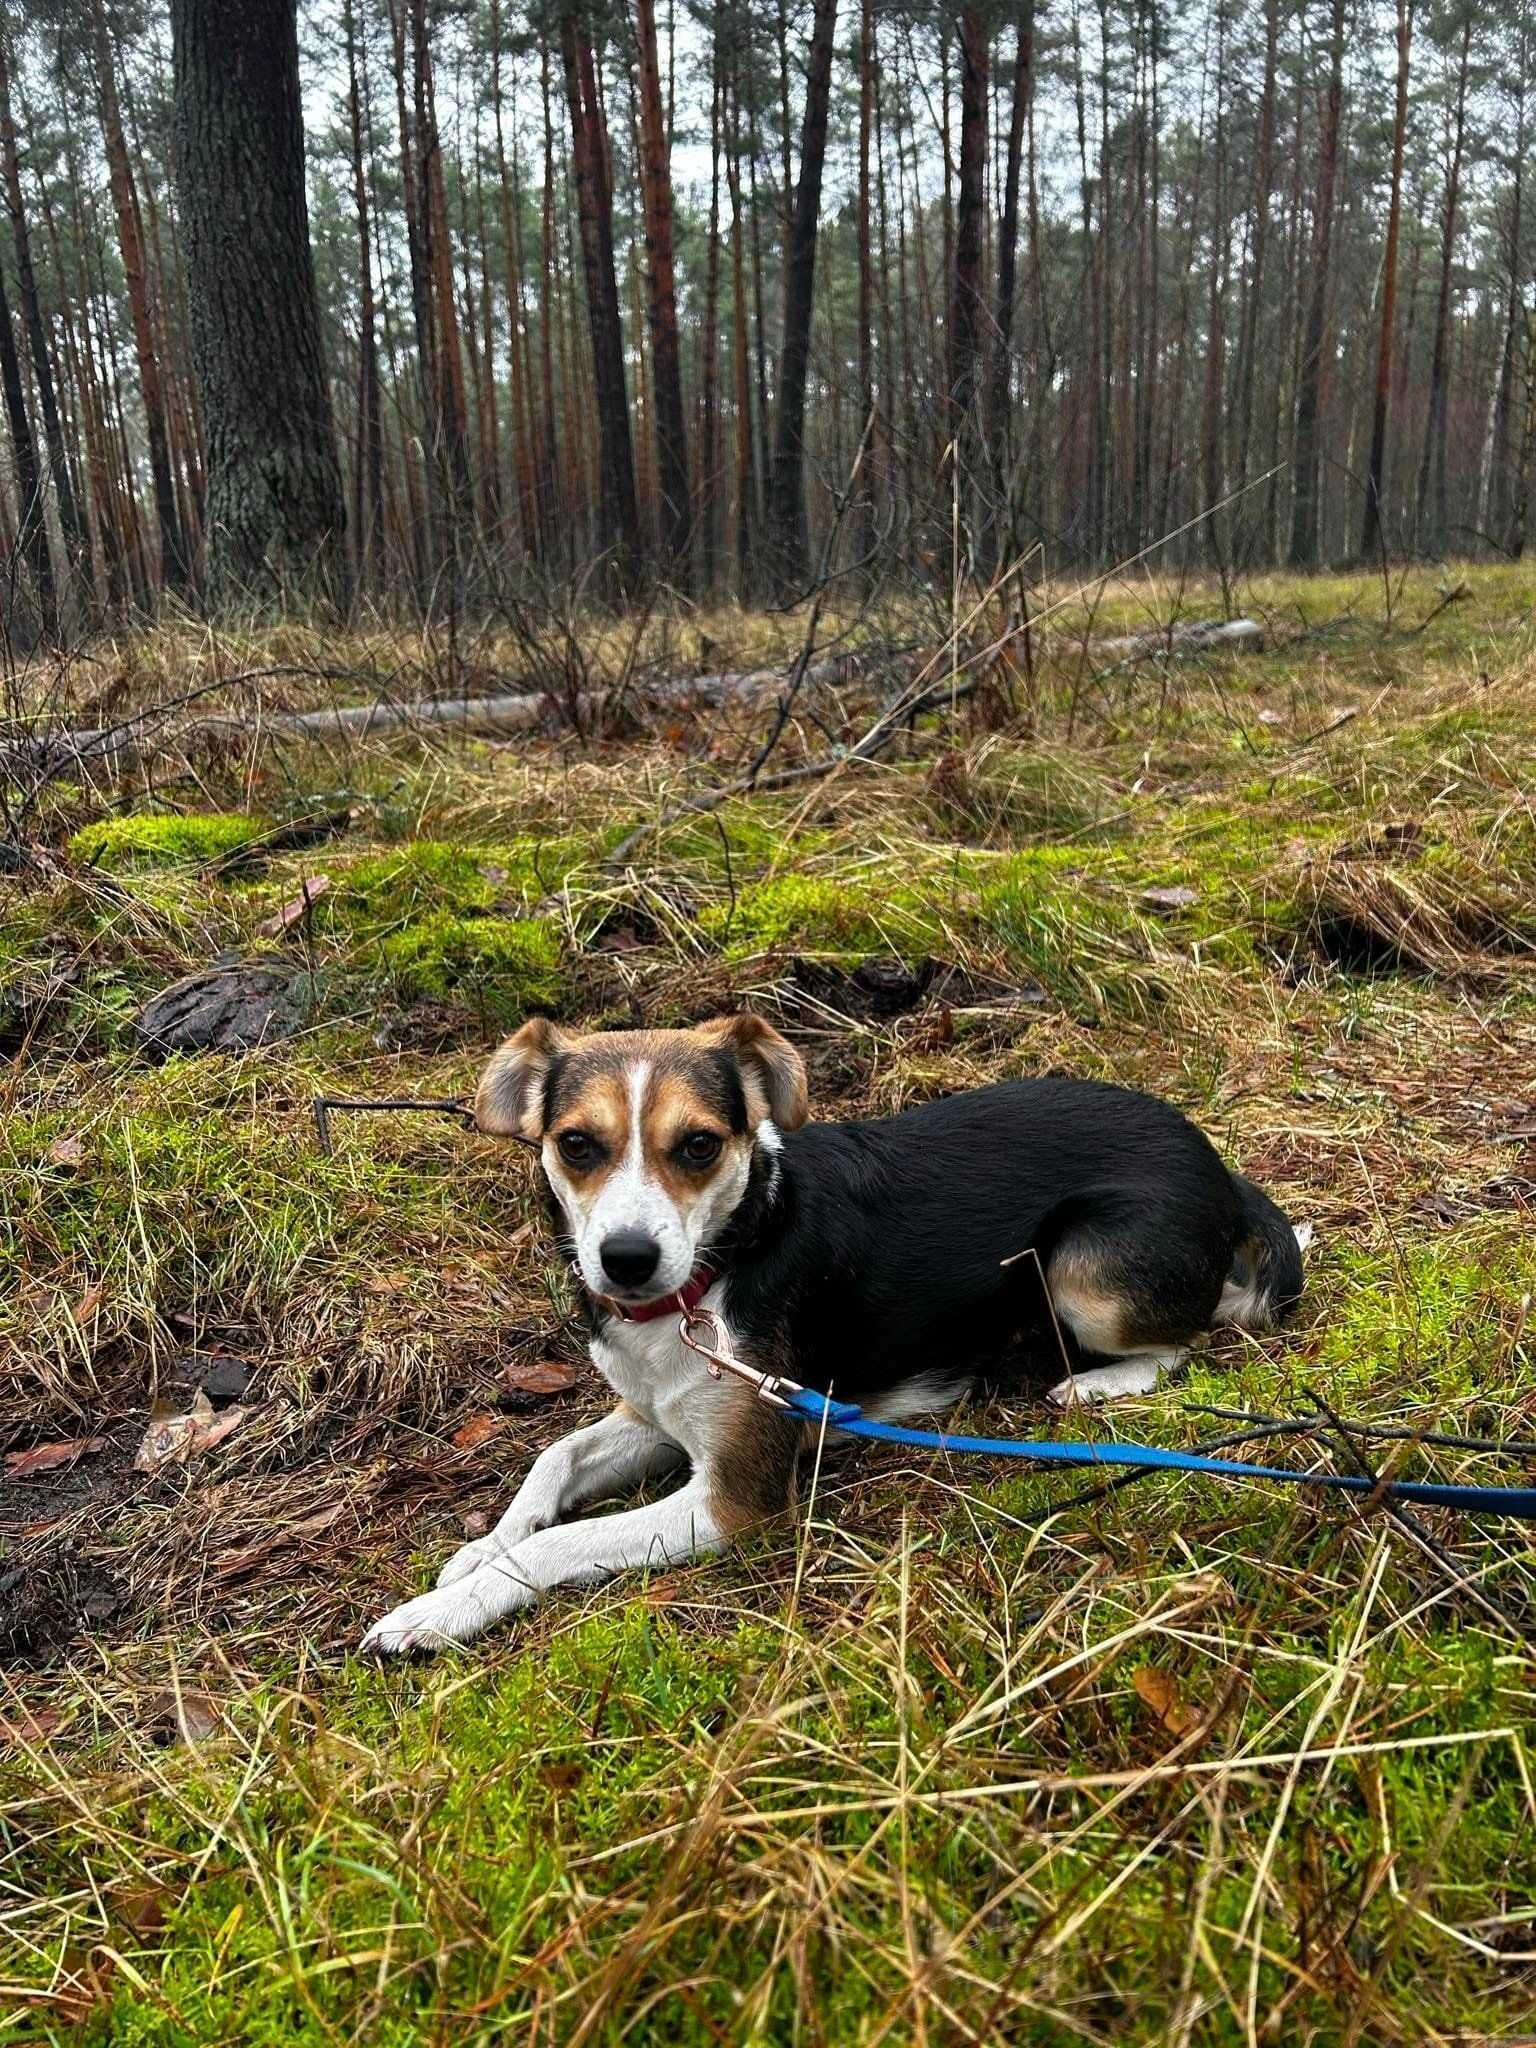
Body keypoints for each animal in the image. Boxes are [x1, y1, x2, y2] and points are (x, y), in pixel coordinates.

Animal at [364, 1015, 1310, 1654]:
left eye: (699, 1145)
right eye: (577, 1145)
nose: (627, 1261)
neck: (715, 1269)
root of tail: (1215, 1163)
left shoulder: (734, 1499)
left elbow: (561, 1541)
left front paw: (438, 1613)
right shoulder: (654, 1415)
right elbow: (551, 1462)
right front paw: (480, 1547)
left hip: (1081, 1272)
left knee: (1194, 1334)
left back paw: (1099, 1381)